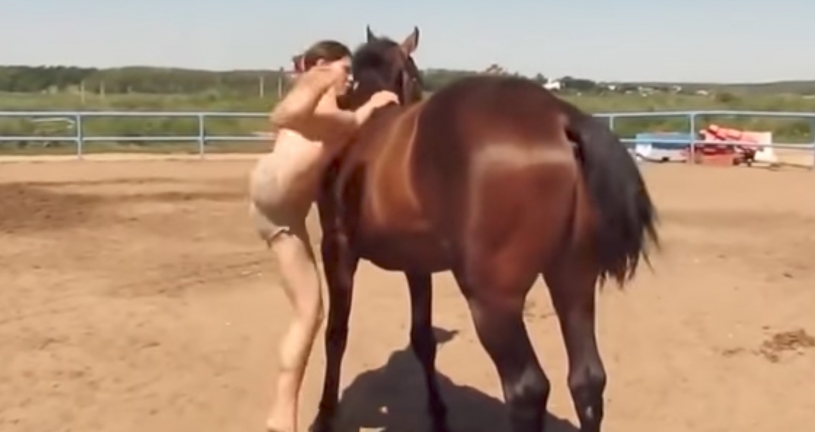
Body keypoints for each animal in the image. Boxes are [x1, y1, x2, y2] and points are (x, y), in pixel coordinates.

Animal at [310, 26, 659, 432]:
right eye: (416, 77)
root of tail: (559, 118)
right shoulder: (417, 265)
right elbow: (422, 339)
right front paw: (438, 415)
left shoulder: (338, 248)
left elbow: (336, 334)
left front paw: (324, 416)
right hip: (573, 282)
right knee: (587, 380)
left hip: (493, 301)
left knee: (528, 390)